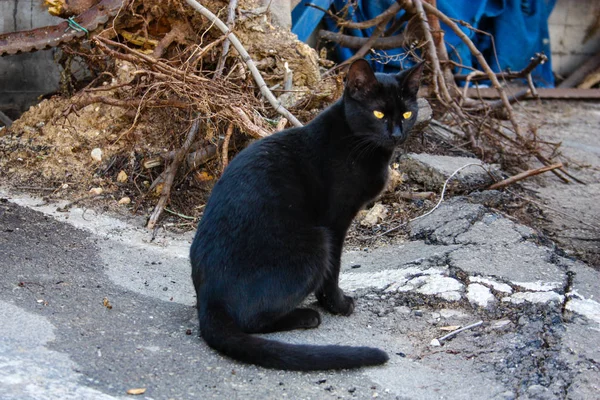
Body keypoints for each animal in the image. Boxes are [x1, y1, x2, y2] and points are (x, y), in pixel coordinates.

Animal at [191, 57, 422, 370]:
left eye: (407, 113)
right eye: (378, 113)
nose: (397, 134)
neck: (357, 144)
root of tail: (208, 299)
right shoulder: (335, 222)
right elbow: (333, 271)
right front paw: (337, 305)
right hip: (316, 243)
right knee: (250, 320)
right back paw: (307, 316)